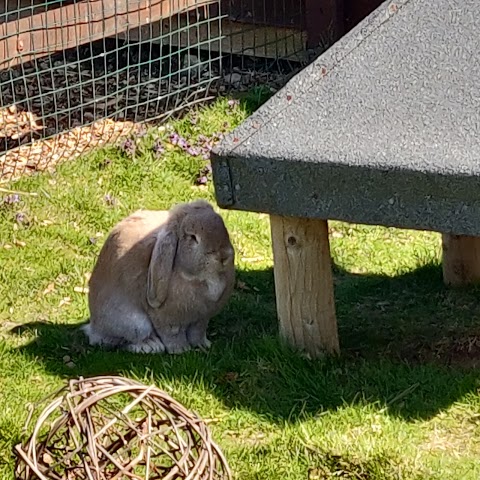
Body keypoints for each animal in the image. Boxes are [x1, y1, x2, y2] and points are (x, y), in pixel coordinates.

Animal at [83, 199, 236, 352]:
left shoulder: (201, 319)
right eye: (192, 237)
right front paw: (180, 349)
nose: (223, 256)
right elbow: (172, 334)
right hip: (136, 325)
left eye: (223, 226)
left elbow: (197, 333)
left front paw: (203, 345)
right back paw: (150, 346)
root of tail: (94, 328)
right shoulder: (168, 321)